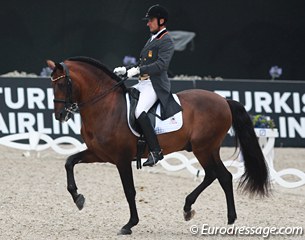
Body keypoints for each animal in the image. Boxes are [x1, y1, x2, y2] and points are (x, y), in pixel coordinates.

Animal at [45, 55, 268, 234]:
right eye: (52, 85)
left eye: (63, 84)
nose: (60, 115)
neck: (105, 106)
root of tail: (223, 100)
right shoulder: (98, 154)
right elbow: (69, 161)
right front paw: (78, 198)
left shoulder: (121, 159)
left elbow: (129, 190)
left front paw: (130, 224)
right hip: (208, 149)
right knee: (222, 176)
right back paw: (217, 217)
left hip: (203, 148)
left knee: (216, 174)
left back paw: (205, 213)